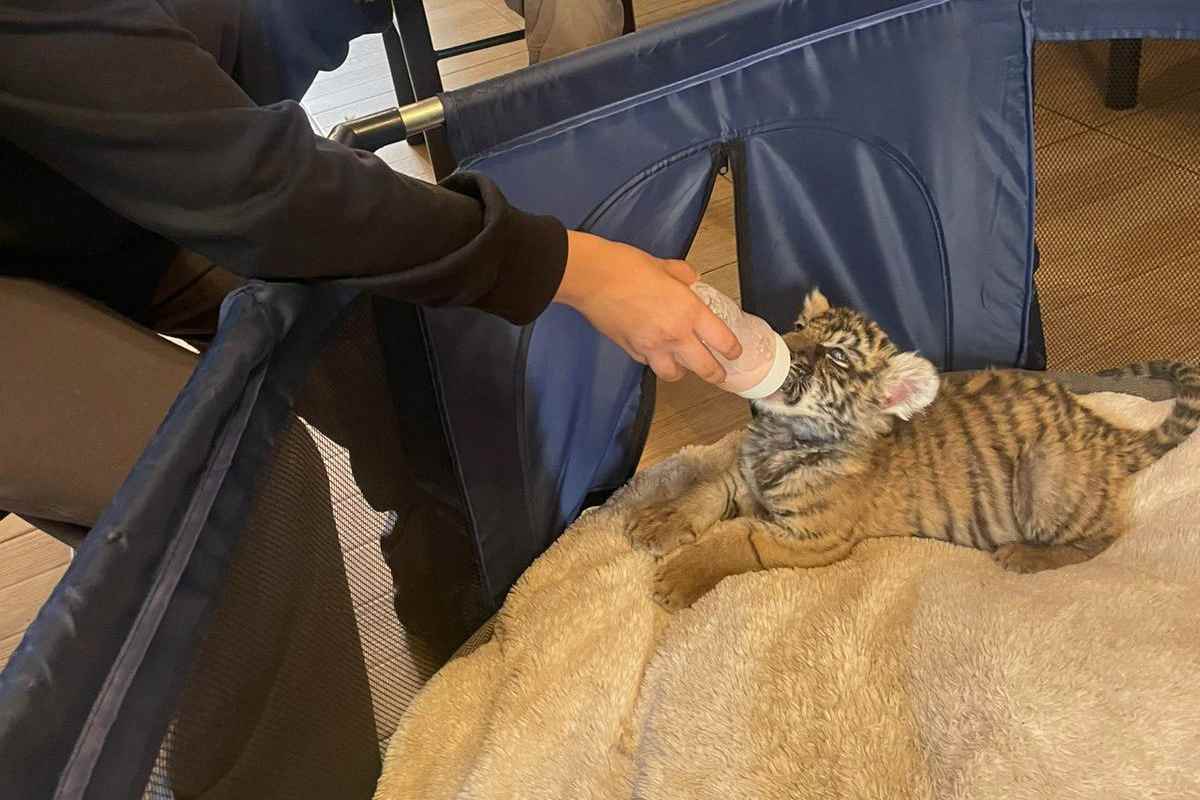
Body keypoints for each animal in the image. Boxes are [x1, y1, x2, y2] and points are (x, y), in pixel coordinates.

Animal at [631, 288, 1200, 611]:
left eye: (836, 356)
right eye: (799, 327)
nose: (783, 347)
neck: (785, 436)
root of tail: (1100, 429)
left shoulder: (813, 538)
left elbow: (736, 539)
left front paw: (676, 578)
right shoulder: (741, 476)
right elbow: (704, 492)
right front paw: (655, 521)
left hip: (1044, 476)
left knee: (1104, 537)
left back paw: (1023, 556)